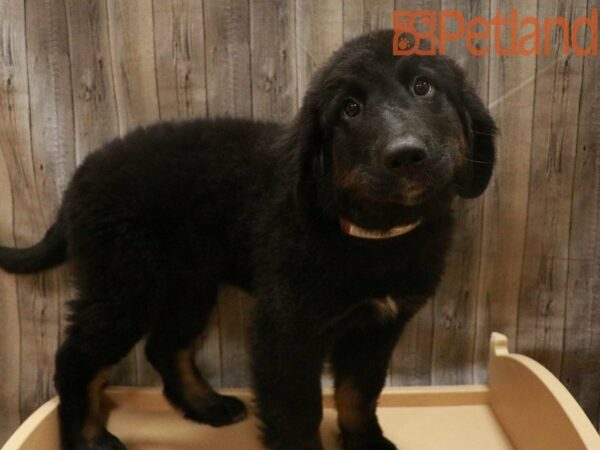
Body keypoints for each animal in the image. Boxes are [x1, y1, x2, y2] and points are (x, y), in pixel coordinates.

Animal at [0, 30, 494, 450]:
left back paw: (206, 406)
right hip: (124, 285)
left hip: (188, 284)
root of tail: (77, 182)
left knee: (165, 347)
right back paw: (88, 438)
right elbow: (297, 411)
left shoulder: (379, 326)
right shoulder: (285, 327)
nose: (405, 154)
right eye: (350, 109)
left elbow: (359, 393)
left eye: (424, 87)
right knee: (75, 360)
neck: (372, 236)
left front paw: (366, 443)